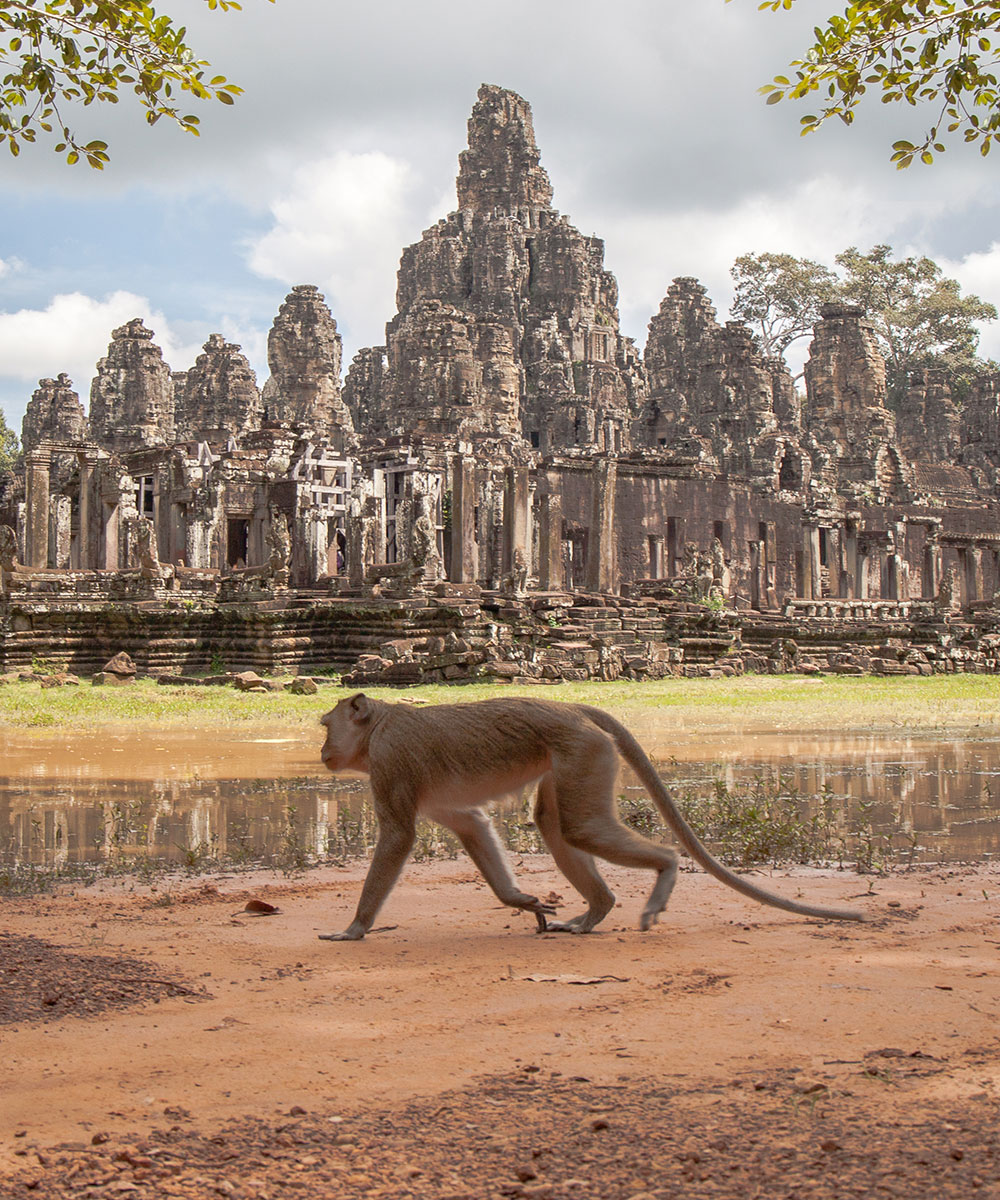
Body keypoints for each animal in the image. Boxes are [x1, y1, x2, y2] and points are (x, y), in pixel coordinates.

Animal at [316, 696, 864, 936]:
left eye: (326, 724)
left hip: (583, 750)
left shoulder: (390, 761)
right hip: (580, 755)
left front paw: (355, 928)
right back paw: (595, 912)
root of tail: (571, 706)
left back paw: (664, 868)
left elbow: (398, 837)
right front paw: (518, 900)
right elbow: (471, 823)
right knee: (556, 824)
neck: (379, 724)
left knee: (579, 829)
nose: (321, 748)